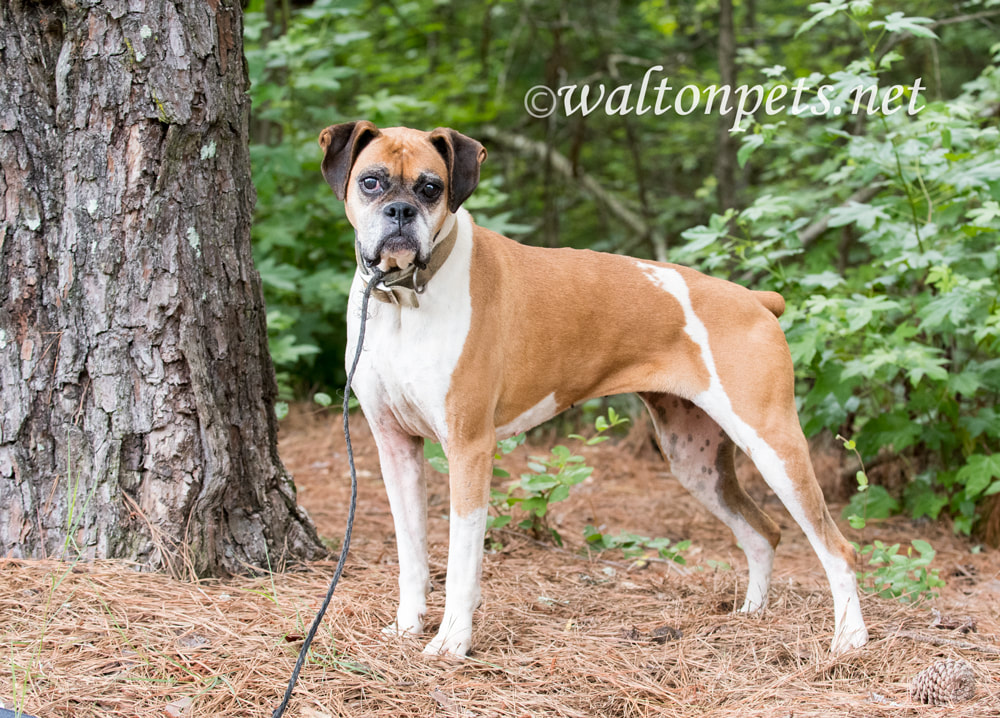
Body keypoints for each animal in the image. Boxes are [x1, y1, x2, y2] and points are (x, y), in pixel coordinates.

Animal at [318, 122, 868, 660]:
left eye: (431, 188)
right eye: (371, 182)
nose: (401, 211)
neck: (403, 300)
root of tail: (755, 299)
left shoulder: (469, 449)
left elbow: (460, 563)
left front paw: (453, 641)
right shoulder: (396, 447)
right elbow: (411, 551)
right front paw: (406, 627)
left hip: (774, 446)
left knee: (837, 548)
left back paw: (849, 639)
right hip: (697, 462)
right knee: (762, 532)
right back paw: (752, 614)